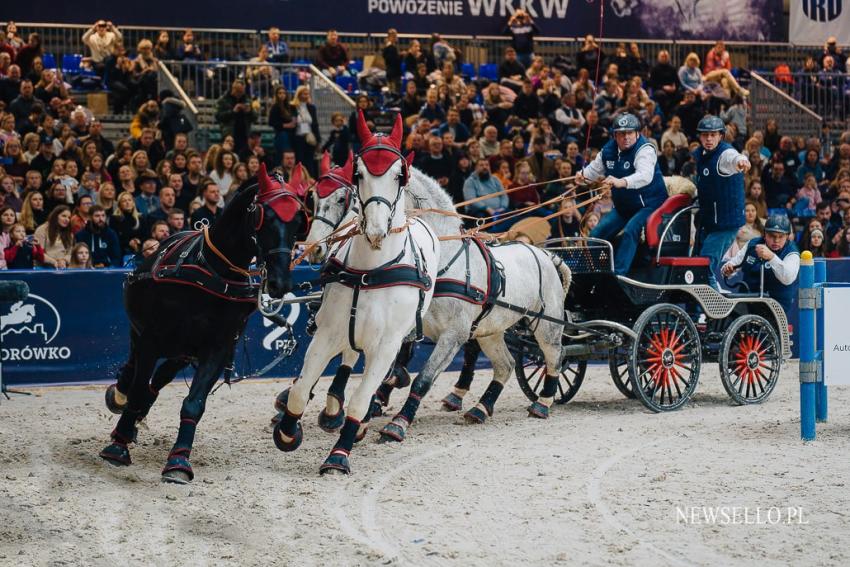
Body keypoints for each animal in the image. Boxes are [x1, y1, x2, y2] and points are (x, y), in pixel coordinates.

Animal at [99, 165, 310, 484]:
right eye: (265, 217)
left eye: (299, 220)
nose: (280, 283)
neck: (213, 272)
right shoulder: (151, 339)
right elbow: (136, 391)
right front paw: (118, 446)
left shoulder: (217, 348)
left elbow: (194, 403)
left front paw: (178, 461)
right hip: (144, 335)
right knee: (132, 372)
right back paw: (119, 399)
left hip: (183, 351)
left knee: (157, 380)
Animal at [274, 111, 444, 474]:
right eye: (360, 174)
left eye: (398, 176)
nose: (377, 230)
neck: (371, 271)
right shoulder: (328, 332)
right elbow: (301, 389)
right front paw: (288, 431)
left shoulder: (387, 344)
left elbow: (361, 398)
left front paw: (339, 454)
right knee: (348, 358)